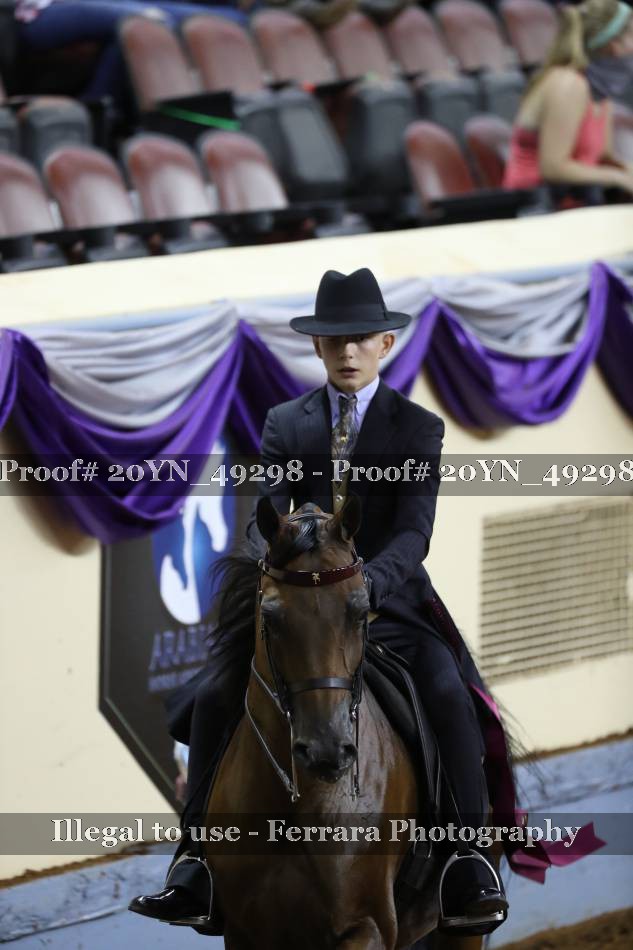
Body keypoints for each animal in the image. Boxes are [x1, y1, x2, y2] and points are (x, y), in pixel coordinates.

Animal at [202, 495, 490, 950]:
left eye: (359, 611)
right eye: (271, 616)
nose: (327, 751)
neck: (294, 809)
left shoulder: (367, 924)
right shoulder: (244, 931)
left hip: (460, 928)